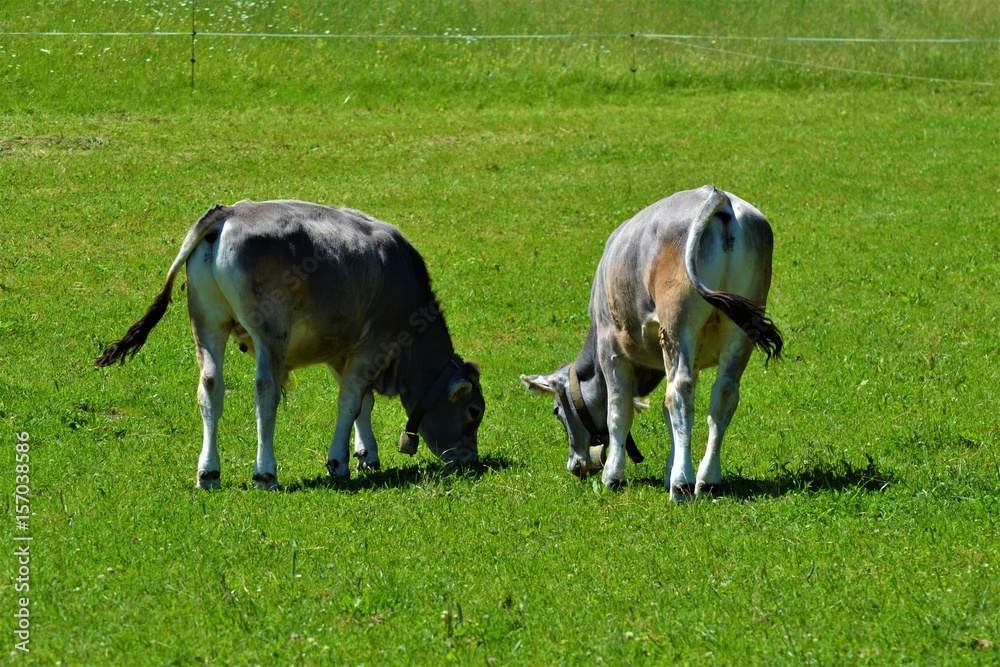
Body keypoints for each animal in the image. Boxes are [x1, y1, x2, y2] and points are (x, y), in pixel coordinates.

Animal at [96, 200, 485, 490]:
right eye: (474, 412)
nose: (471, 461)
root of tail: (230, 212)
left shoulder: (341, 349)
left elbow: (363, 403)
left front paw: (366, 454)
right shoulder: (373, 343)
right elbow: (349, 402)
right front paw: (339, 461)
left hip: (206, 322)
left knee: (209, 387)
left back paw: (209, 471)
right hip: (271, 334)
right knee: (265, 392)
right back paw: (265, 472)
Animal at [521, 186, 781, 501]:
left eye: (557, 411)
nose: (575, 465)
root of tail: (717, 195)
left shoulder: (610, 349)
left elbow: (619, 411)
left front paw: (614, 475)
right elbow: (669, 416)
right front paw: (670, 467)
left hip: (676, 322)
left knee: (679, 392)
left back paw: (682, 484)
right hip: (741, 329)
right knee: (723, 395)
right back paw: (707, 480)